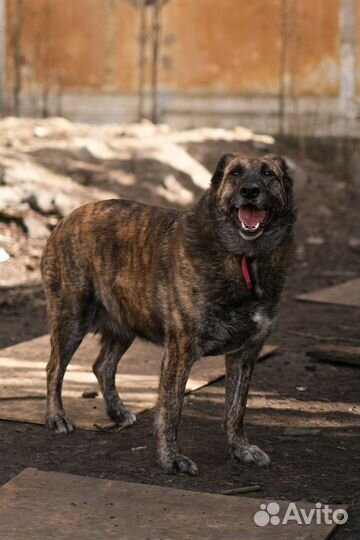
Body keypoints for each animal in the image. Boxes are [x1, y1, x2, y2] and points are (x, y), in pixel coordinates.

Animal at [41, 152, 296, 472]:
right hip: (72, 319)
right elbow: (172, 409)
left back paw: (117, 412)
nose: (250, 190)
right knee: (54, 368)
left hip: (125, 323)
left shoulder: (245, 353)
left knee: (102, 366)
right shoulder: (180, 350)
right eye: (235, 173)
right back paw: (56, 417)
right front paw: (170, 458)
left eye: (267, 173)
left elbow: (236, 409)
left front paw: (240, 449)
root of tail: (65, 219)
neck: (244, 260)